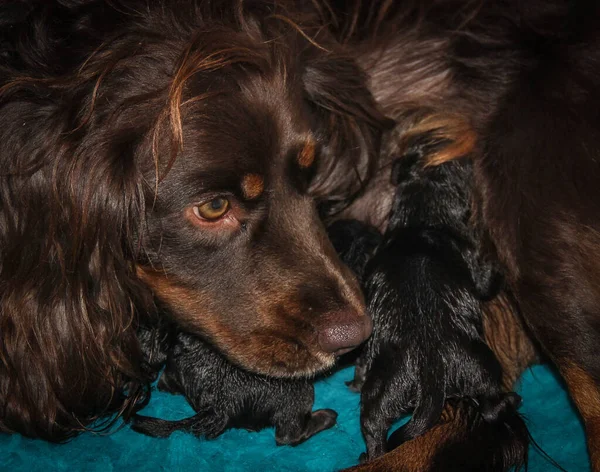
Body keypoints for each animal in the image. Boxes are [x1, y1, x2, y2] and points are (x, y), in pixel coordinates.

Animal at [338, 152, 528, 464]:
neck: (421, 222)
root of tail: (433, 375)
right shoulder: (475, 271)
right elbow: (488, 280)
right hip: (479, 368)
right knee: (490, 407)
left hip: (404, 384)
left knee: (376, 427)